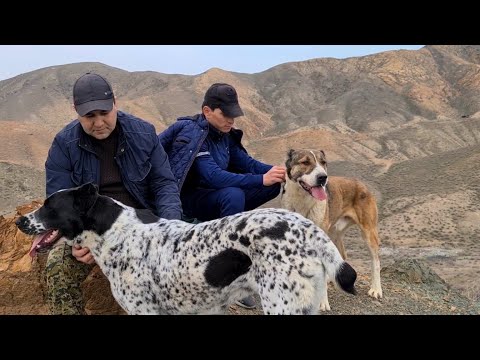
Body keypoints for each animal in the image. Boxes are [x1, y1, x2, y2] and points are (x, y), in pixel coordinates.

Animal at [15, 184, 356, 314]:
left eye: (49, 207)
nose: (19, 220)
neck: (116, 232)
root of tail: (307, 229)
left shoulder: (144, 311)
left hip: (282, 304)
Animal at [280, 149, 380, 300]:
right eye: (305, 162)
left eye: (323, 162)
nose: (323, 177)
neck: (302, 201)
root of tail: (360, 183)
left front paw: (323, 301)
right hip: (334, 232)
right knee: (342, 255)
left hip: (368, 232)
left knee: (375, 260)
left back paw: (376, 289)